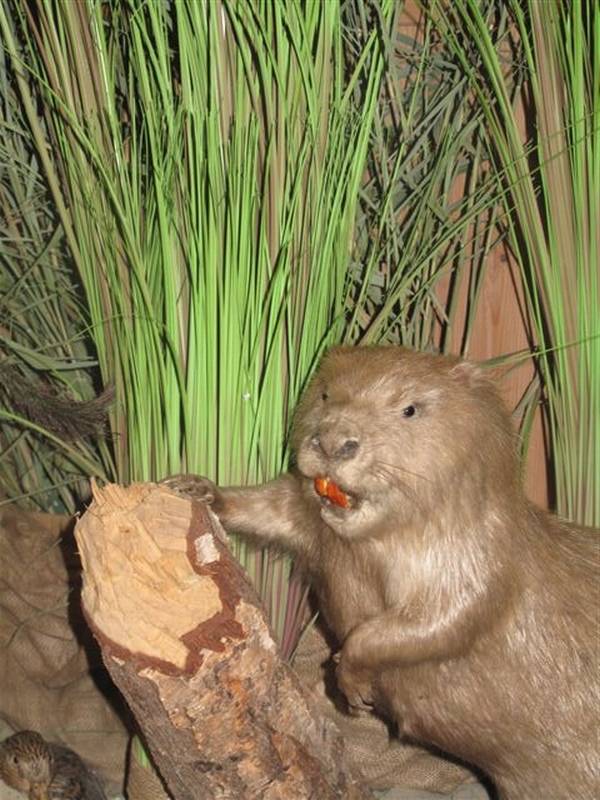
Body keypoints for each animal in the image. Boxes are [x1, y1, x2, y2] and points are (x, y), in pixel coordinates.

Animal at [166, 346, 596, 800]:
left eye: (410, 409)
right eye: (325, 392)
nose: (334, 442)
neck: (370, 548)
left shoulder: (482, 555)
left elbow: (440, 622)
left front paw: (351, 685)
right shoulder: (313, 519)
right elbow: (276, 505)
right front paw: (194, 488)